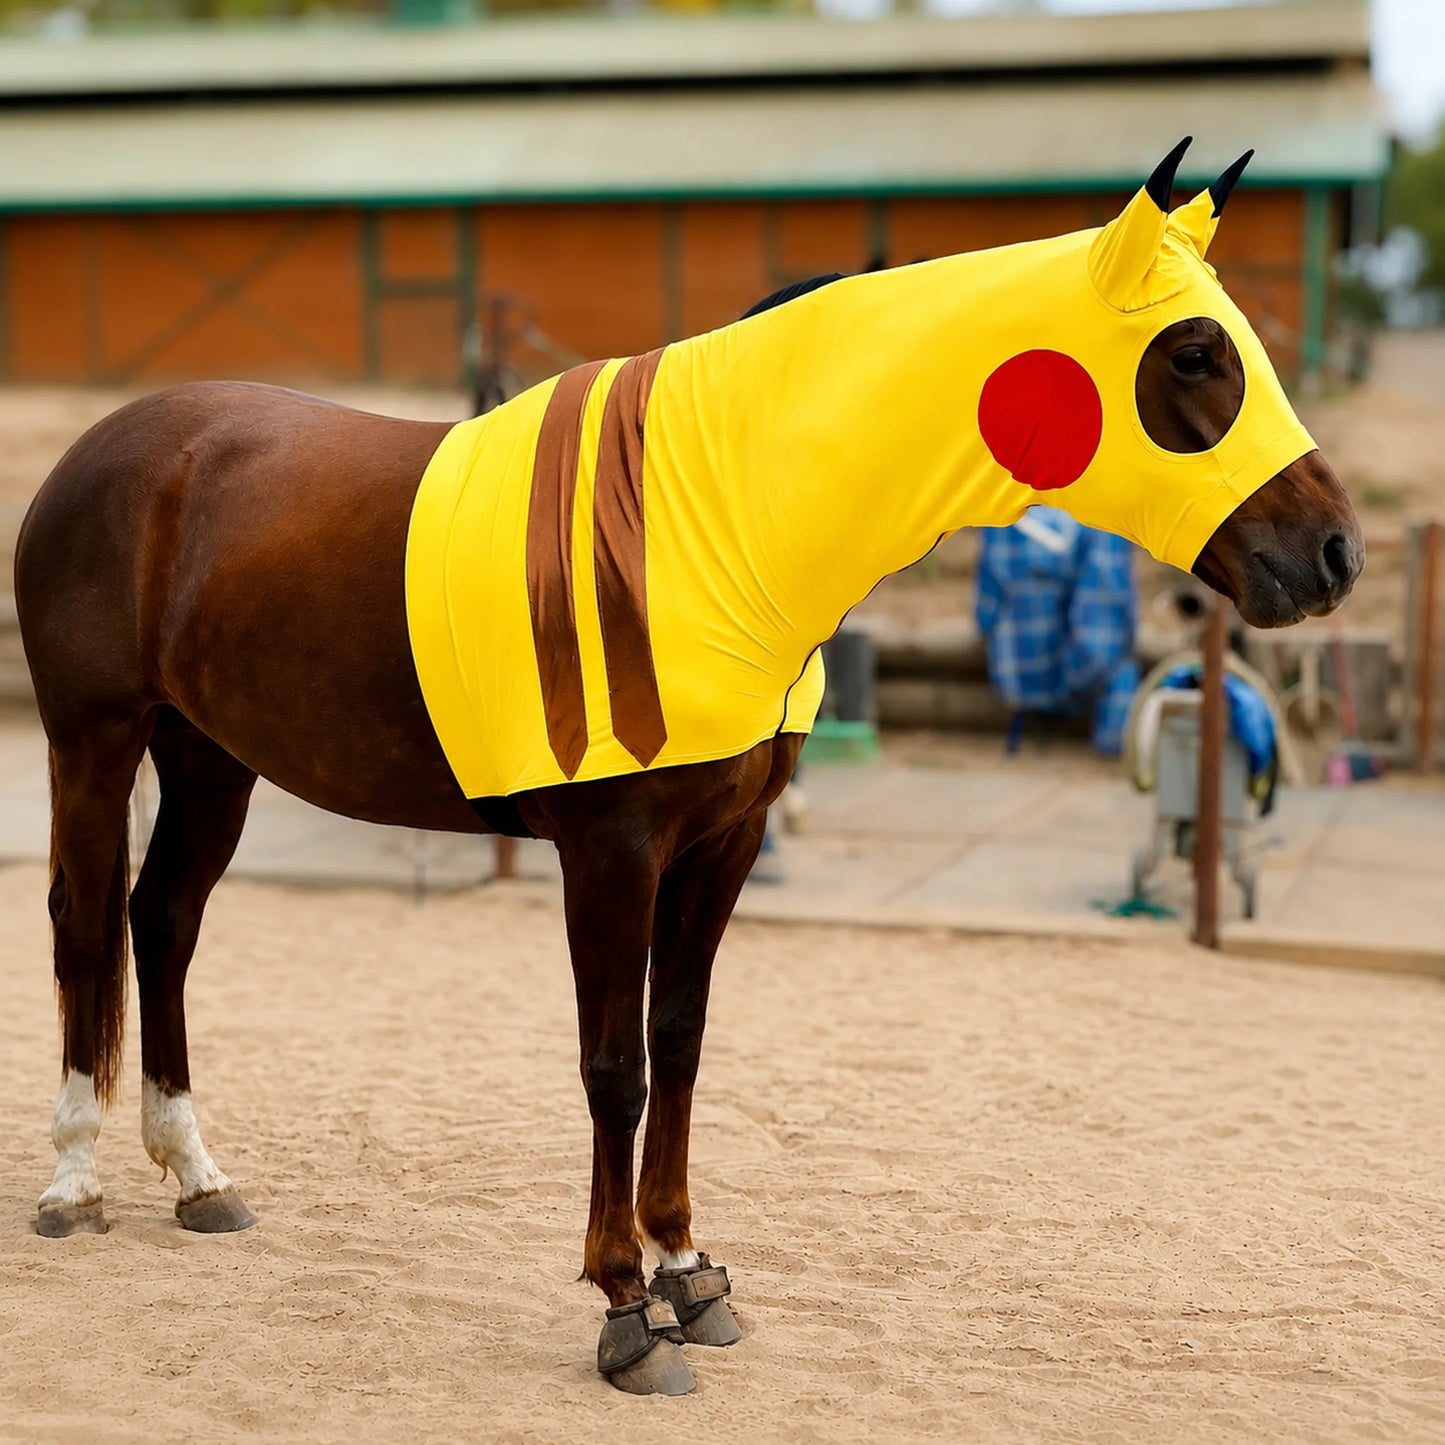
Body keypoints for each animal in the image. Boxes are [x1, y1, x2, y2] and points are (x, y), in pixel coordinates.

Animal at [14, 141, 1362, 1396]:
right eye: (1192, 353)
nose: (1333, 553)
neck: (705, 518)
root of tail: (108, 451)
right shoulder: (611, 853)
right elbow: (615, 1066)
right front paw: (623, 1307)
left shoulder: (723, 843)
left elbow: (682, 1043)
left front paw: (687, 1273)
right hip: (96, 742)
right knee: (85, 922)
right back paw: (73, 1180)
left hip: (209, 759)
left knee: (162, 920)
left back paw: (198, 1176)